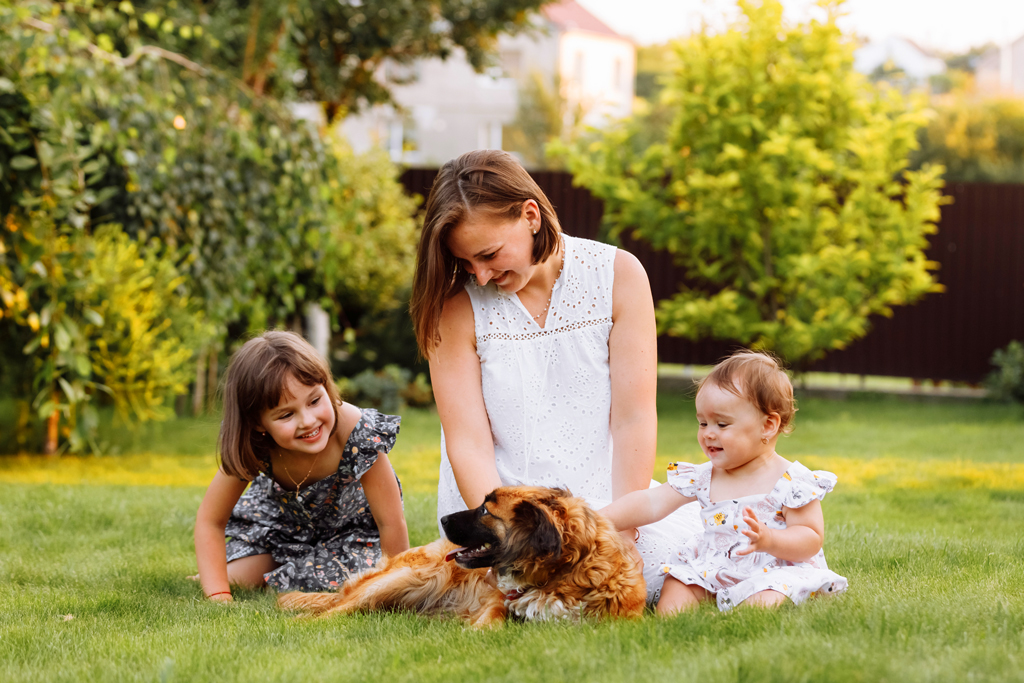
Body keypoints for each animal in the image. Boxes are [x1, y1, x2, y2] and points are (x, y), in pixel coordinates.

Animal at [278, 485, 647, 626]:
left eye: (485, 510)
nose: (442, 520)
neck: (563, 573)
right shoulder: (499, 601)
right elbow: (493, 618)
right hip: (410, 577)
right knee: (338, 609)